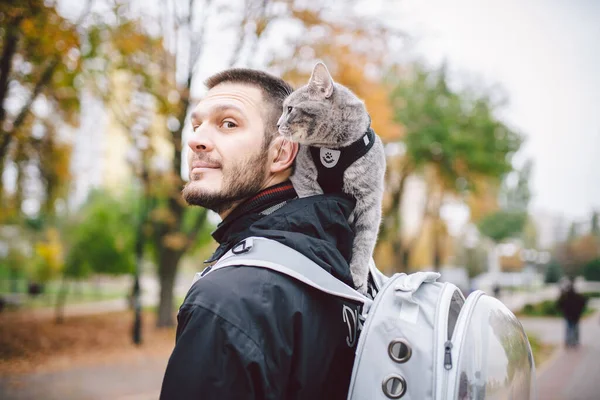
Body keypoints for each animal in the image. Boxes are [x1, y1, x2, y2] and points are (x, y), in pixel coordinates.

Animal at [278, 62, 386, 294]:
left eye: (290, 109)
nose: (277, 124)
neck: (334, 149)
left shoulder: (370, 201)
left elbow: (364, 242)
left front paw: (358, 275)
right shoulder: (305, 182)